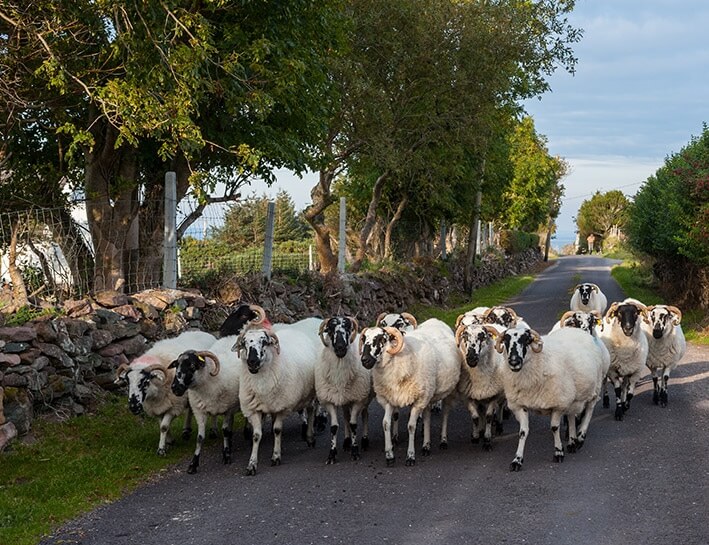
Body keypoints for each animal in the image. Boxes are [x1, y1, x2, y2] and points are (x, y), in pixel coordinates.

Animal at [169, 335, 243, 474]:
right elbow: (200, 438)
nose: (175, 388)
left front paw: (226, 456)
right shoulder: (199, 411)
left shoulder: (228, 409)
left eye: (192, 366)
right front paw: (193, 464)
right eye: (177, 366)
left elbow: (225, 431)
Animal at [232, 326, 319, 476]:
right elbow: (256, 435)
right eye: (244, 343)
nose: (252, 361)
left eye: (264, 342)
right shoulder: (254, 409)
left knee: (311, 410)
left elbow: (277, 430)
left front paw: (276, 457)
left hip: (309, 393)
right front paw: (252, 465)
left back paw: (310, 437)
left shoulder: (281, 407)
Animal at [316, 316, 372, 464]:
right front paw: (332, 454)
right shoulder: (329, 400)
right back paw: (346, 442)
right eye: (330, 329)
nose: (340, 347)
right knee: (346, 417)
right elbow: (334, 427)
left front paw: (355, 451)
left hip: (364, 396)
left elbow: (353, 424)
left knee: (364, 415)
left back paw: (365, 441)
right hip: (345, 398)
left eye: (348, 327)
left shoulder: (358, 399)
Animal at [359, 321, 461, 466]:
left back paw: (443, 441)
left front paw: (410, 456)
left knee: (445, 413)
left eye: (381, 339)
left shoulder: (418, 401)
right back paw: (426, 446)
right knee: (427, 416)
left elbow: (411, 426)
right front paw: (389, 455)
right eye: (363, 339)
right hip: (428, 393)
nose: (365, 360)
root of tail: (436, 320)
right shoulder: (390, 398)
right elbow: (385, 424)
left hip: (444, 391)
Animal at [495, 325, 607, 471]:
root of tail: (576, 330)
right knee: (571, 415)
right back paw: (572, 442)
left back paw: (581, 438)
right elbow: (523, 432)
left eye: (527, 340)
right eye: (506, 341)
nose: (514, 362)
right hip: (572, 396)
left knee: (589, 410)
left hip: (595, 386)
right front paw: (517, 460)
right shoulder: (520, 405)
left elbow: (554, 428)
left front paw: (558, 452)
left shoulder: (558, 404)